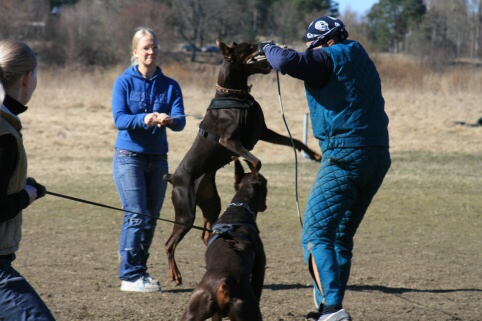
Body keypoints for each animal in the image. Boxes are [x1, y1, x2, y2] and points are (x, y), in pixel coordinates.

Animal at [181, 159, 270, 318]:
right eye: (266, 182)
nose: (265, 206)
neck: (238, 211)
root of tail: (223, 284)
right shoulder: (260, 267)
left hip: (194, 307)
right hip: (248, 310)